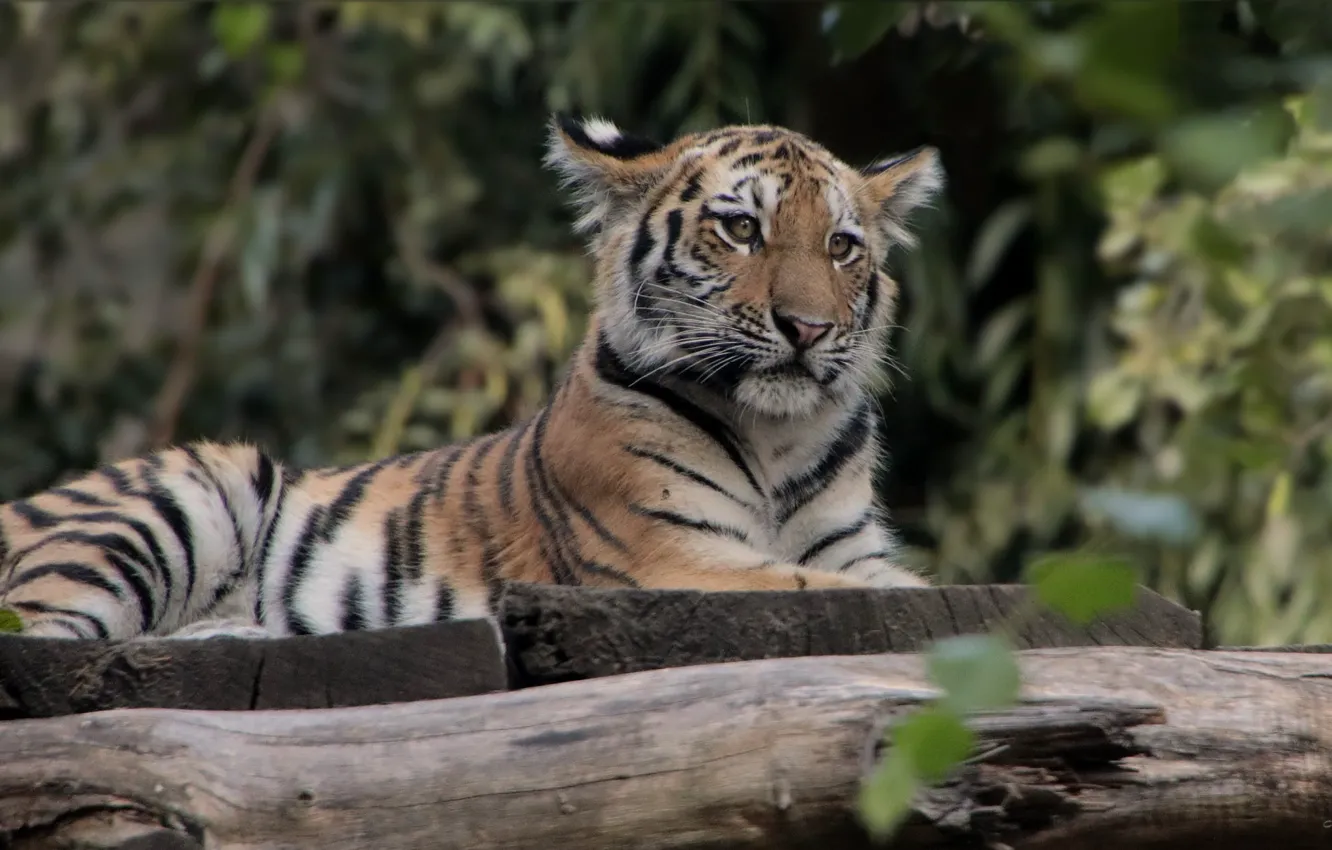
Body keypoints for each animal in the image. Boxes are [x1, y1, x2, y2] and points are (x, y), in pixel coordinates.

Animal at [0, 114, 944, 642]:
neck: (779, 432)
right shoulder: (672, 555)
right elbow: (852, 590)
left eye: (841, 246)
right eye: (742, 229)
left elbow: (878, 579)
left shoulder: (845, 542)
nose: (808, 329)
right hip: (184, 492)